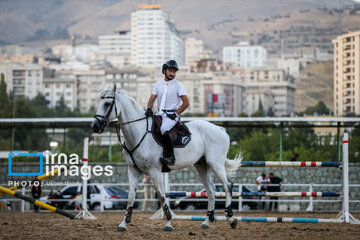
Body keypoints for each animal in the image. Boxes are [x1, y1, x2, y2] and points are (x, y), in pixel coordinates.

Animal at [90, 87, 242, 232]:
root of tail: (220, 129)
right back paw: (206, 222)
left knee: (227, 186)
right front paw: (123, 224)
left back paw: (231, 218)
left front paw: (168, 223)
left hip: (216, 164)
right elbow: (131, 197)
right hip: (202, 166)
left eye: (107, 103)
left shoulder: (154, 171)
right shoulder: (133, 170)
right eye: (98, 103)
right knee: (211, 191)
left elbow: (161, 196)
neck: (139, 133)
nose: (95, 126)